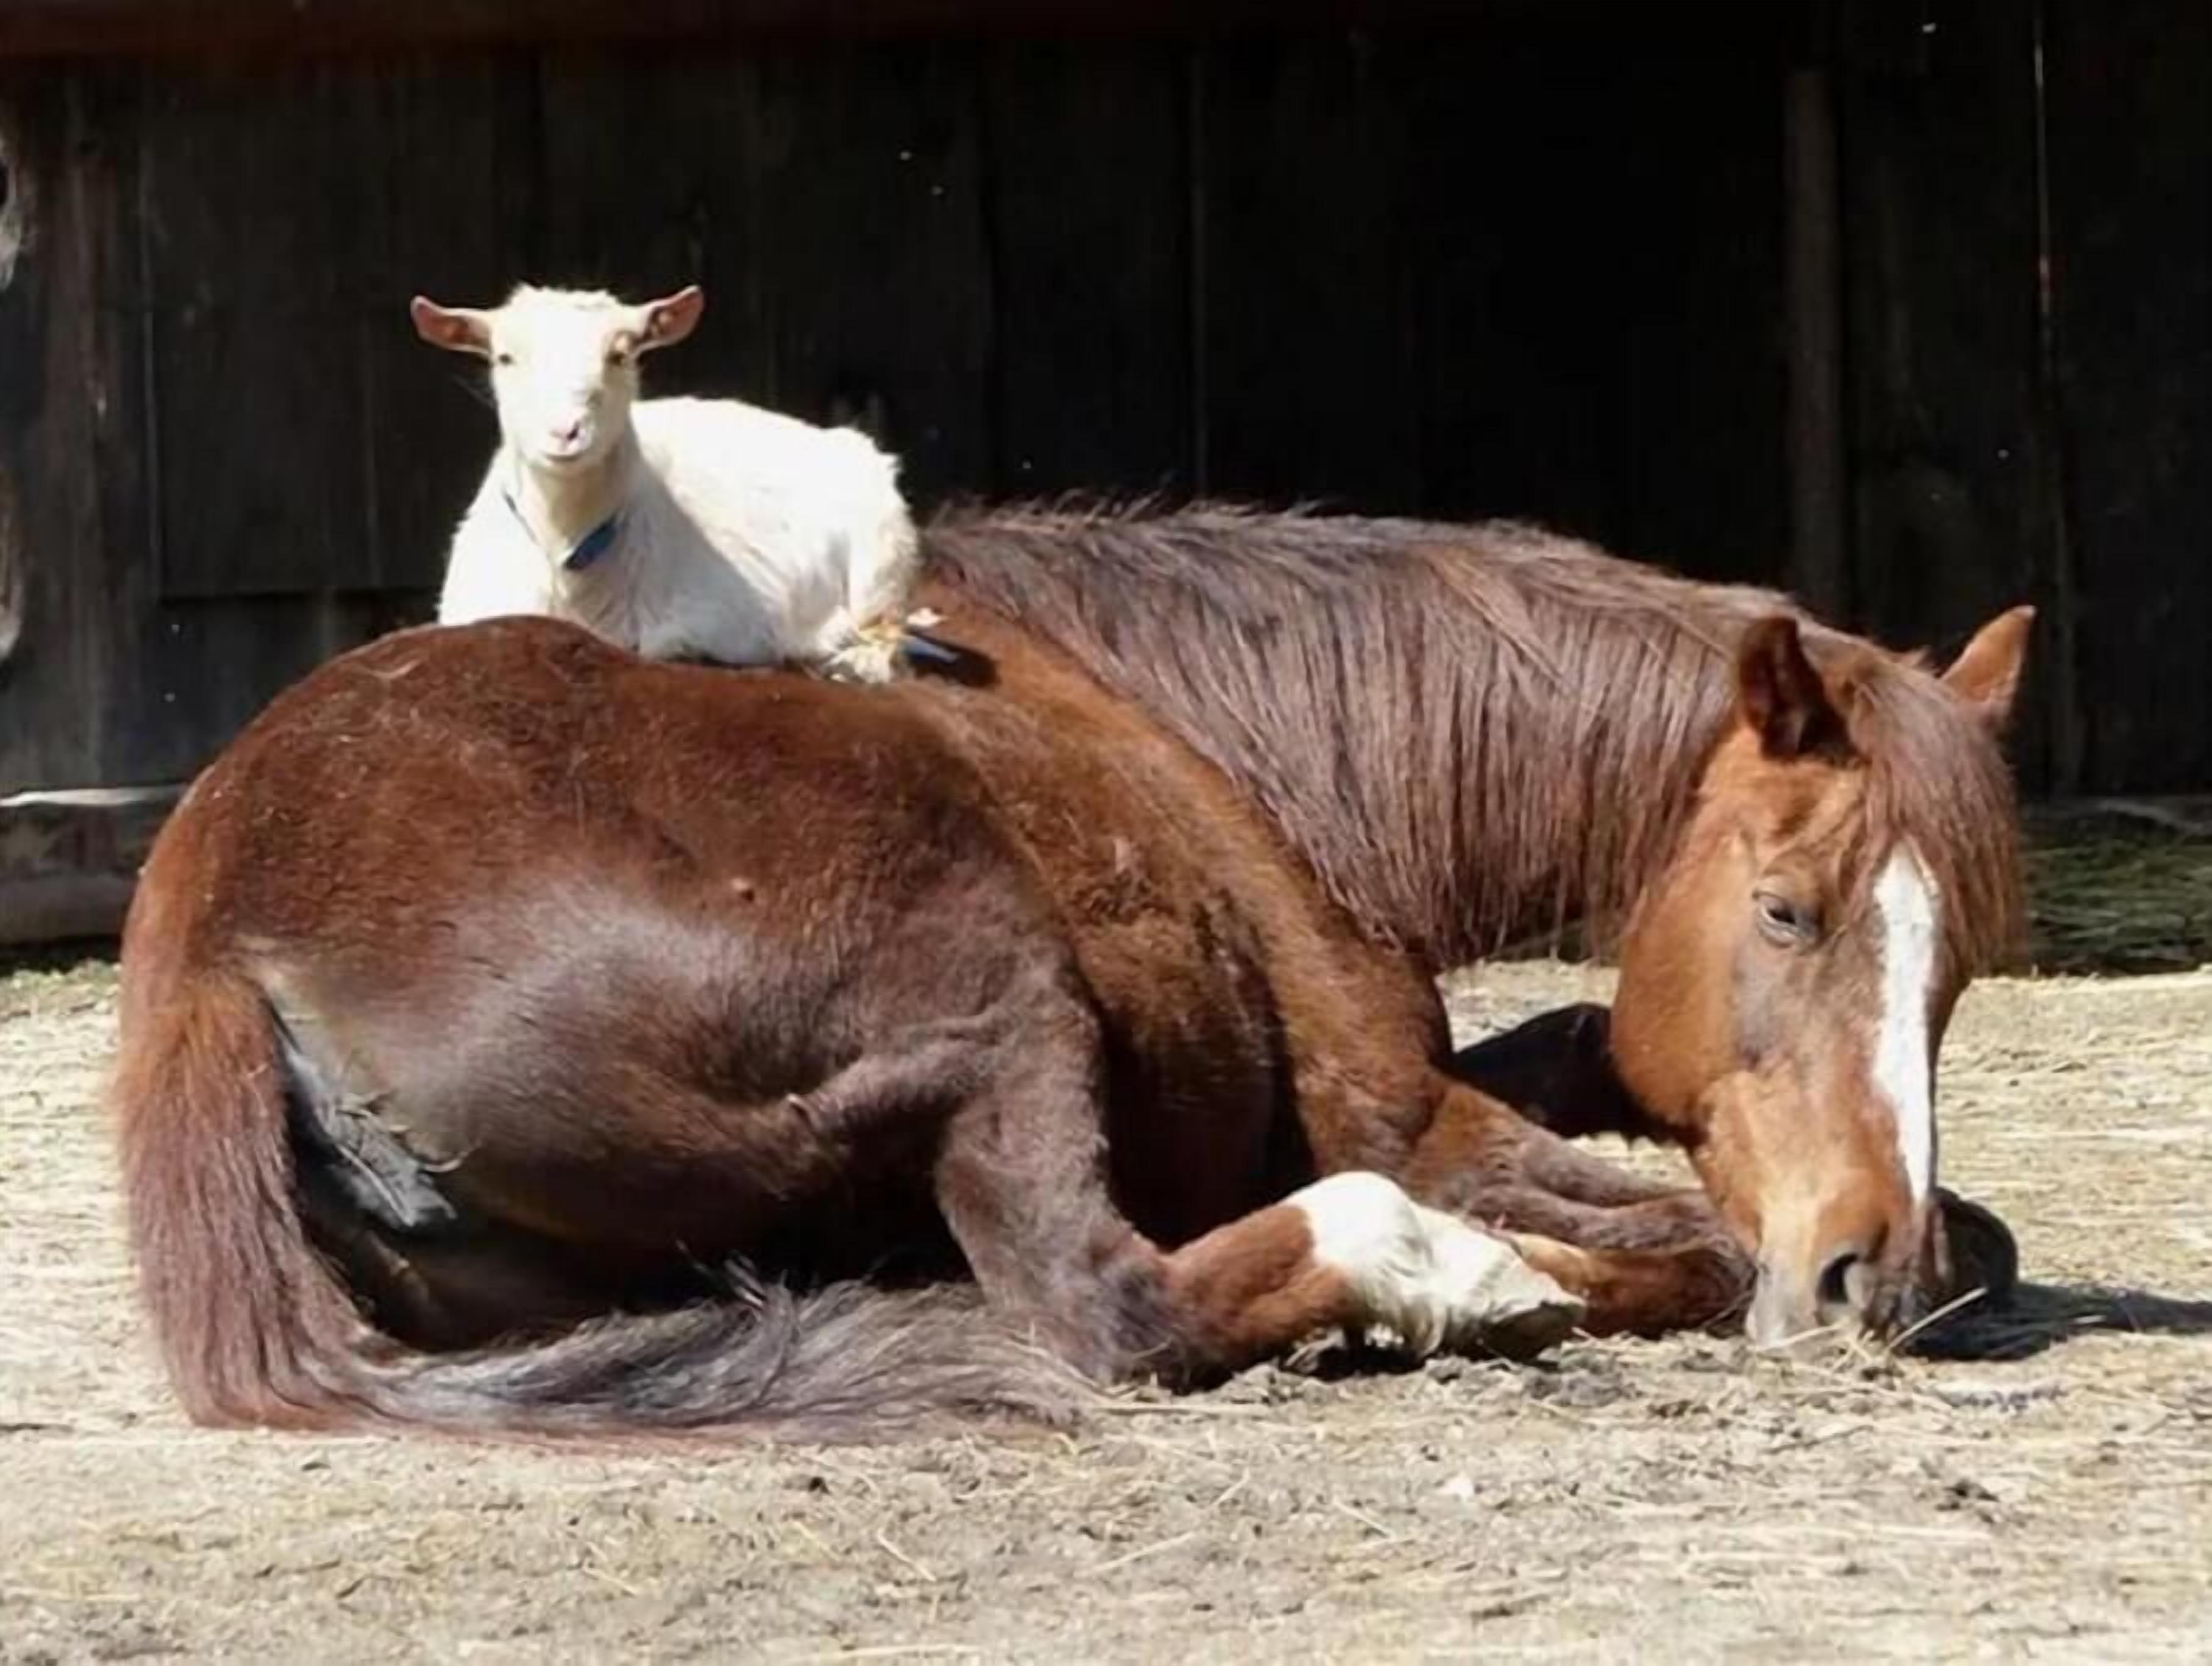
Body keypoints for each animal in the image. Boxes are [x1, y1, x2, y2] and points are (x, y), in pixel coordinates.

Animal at [110, 506, 2032, 1438]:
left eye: (1949, 973)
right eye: (1785, 912)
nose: (1872, 1271)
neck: (1231, 733)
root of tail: (212, 924)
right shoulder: (1401, 1113)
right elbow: (1690, 1236)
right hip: (999, 984)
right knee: (1113, 1301)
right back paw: (1452, 1279)